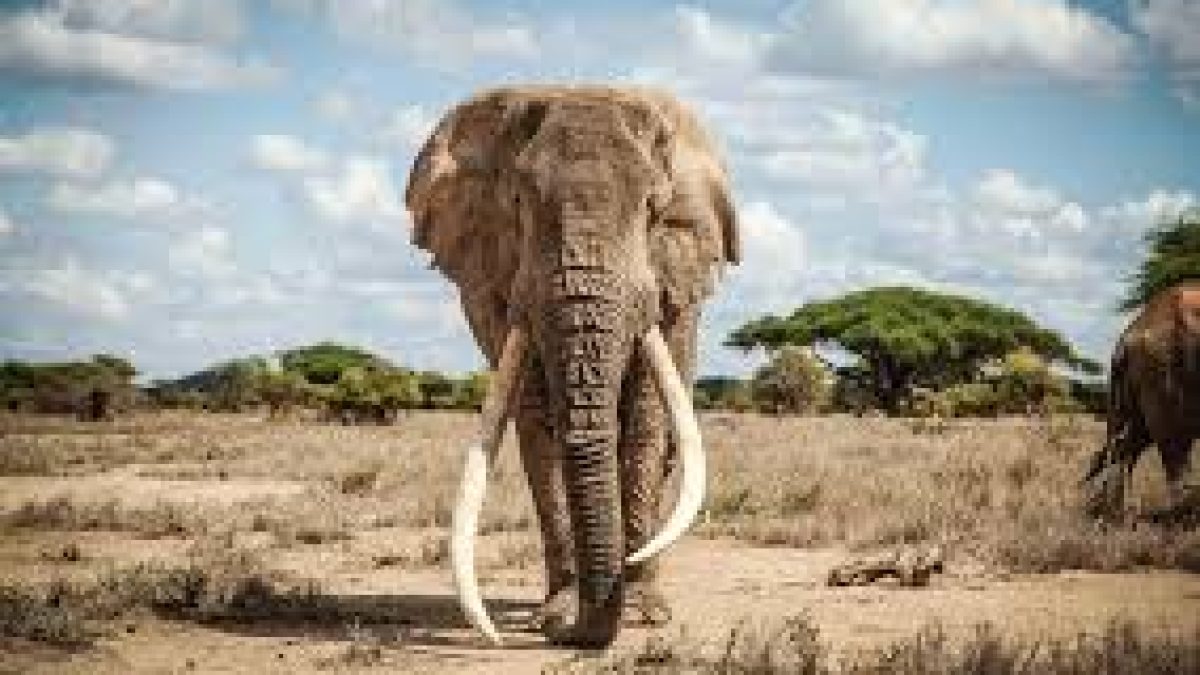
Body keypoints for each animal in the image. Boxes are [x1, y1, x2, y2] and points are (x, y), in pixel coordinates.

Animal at [405, 85, 739, 647]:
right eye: (518, 204)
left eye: (652, 209)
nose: (571, 635)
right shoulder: (500, 287)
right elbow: (538, 429)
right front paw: (557, 616)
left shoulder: (671, 284)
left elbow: (646, 426)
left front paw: (642, 615)